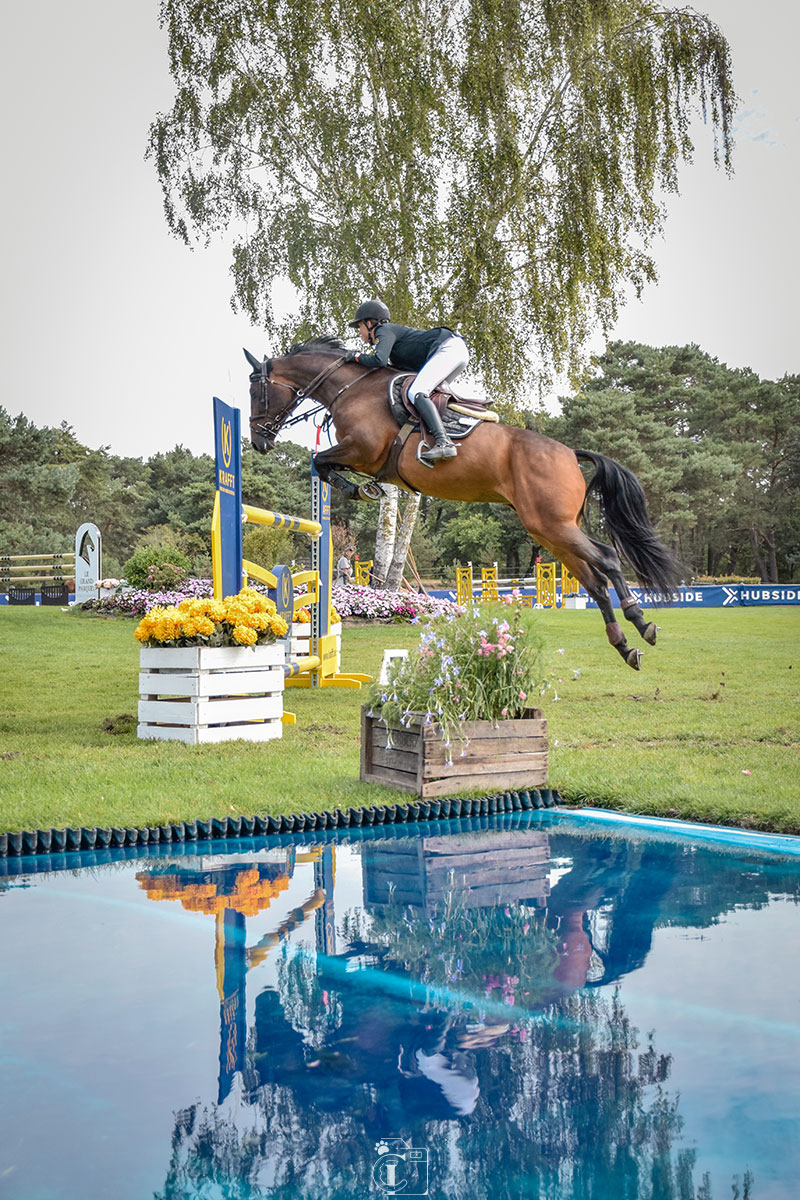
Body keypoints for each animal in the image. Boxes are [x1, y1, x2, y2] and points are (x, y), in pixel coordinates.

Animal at [245, 338, 681, 672]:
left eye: (255, 392)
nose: (259, 442)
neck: (350, 388)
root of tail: (570, 454)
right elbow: (323, 463)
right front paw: (360, 489)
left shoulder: (363, 450)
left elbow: (320, 461)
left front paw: (357, 490)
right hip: (551, 532)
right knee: (594, 583)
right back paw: (625, 646)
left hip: (555, 527)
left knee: (607, 560)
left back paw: (641, 622)